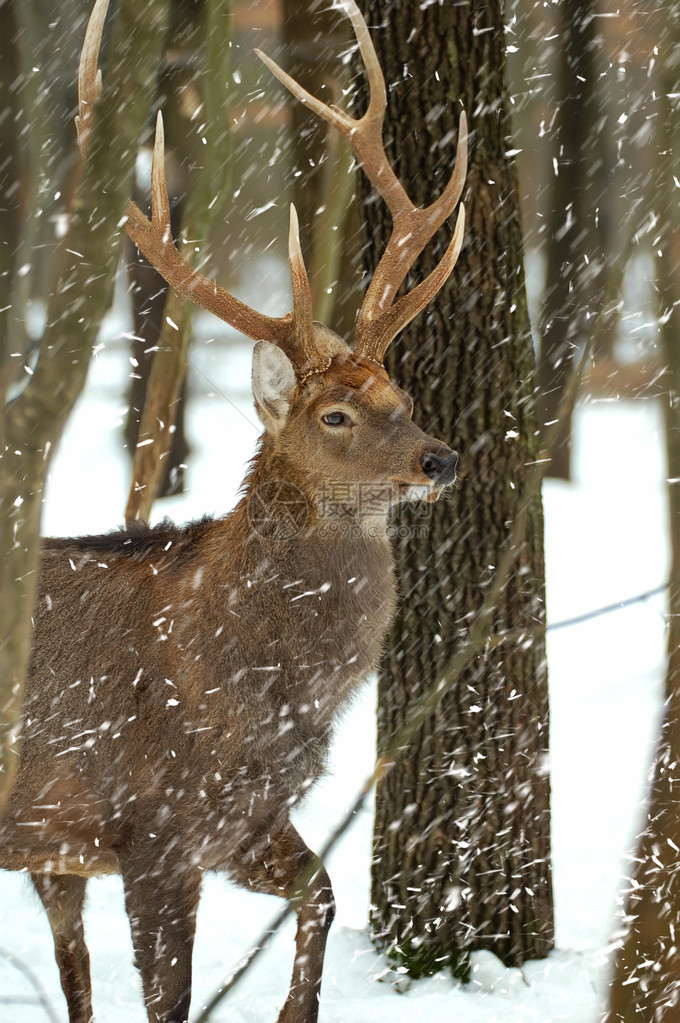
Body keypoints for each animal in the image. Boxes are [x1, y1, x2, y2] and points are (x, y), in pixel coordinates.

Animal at [0, 1, 466, 1023]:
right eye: (334, 414)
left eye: (405, 395)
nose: (440, 457)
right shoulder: (154, 826)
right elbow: (168, 1001)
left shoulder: (244, 818)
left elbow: (323, 891)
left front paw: (297, 1010)